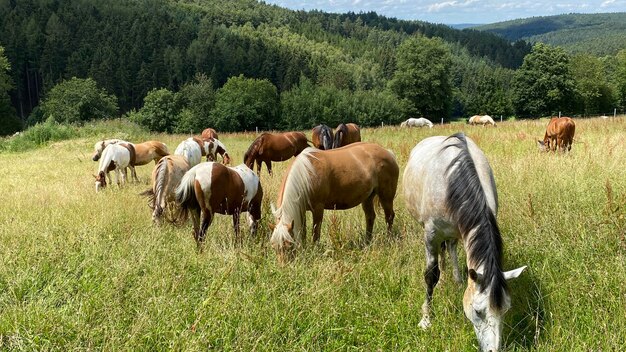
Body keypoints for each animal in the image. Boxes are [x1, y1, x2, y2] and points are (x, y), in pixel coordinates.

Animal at [266, 142, 394, 262]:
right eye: (273, 247)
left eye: (289, 245)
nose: (284, 266)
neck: (306, 174)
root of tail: (388, 153)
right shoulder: (301, 209)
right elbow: (303, 231)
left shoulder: (318, 208)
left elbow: (315, 232)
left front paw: (315, 250)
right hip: (367, 198)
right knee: (370, 217)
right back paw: (367, 241)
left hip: (386, 197)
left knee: (389, 217)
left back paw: (389, 240)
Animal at [400, 133, 528, 350]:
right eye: (478, 311)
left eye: (505, 309)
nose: (493, 350)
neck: (453, 181)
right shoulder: (430, 234)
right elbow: (430, 275)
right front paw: (426, 319)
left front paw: (458, 282)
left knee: (450, 248)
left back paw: (456, 279)